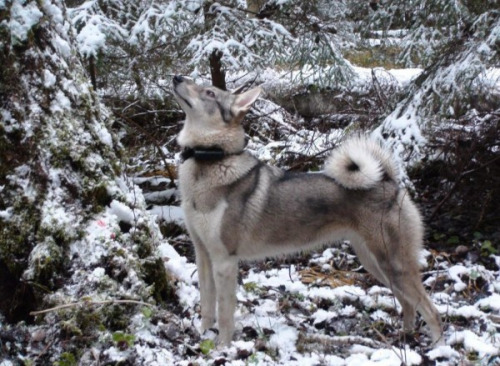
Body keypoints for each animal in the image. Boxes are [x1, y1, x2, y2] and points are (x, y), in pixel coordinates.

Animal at [171, 75, 442, 346]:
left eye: (210, 92)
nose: (177, 77)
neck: (210, 159)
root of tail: (389, 181)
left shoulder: (225, 261)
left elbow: (225, 314)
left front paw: (223, 347)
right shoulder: (203, 256)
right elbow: (207, 305)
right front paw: (203, 337)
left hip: (393, 264)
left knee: (431, 310)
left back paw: (437, 347)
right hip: (374, 263)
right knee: (408, 304)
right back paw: (405, 336)